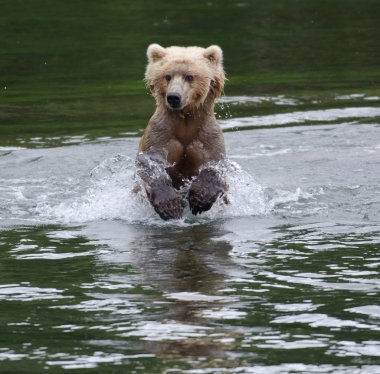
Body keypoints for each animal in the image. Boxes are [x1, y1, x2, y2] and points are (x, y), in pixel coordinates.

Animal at [136, 44, 227, 221]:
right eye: (167, 76)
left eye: (190, 77)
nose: (173, 97)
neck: (185, 120)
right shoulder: (161, 133)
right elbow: (151, 163)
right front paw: (170, 206)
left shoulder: (206, 134)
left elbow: (214, 162)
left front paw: (200, 199)